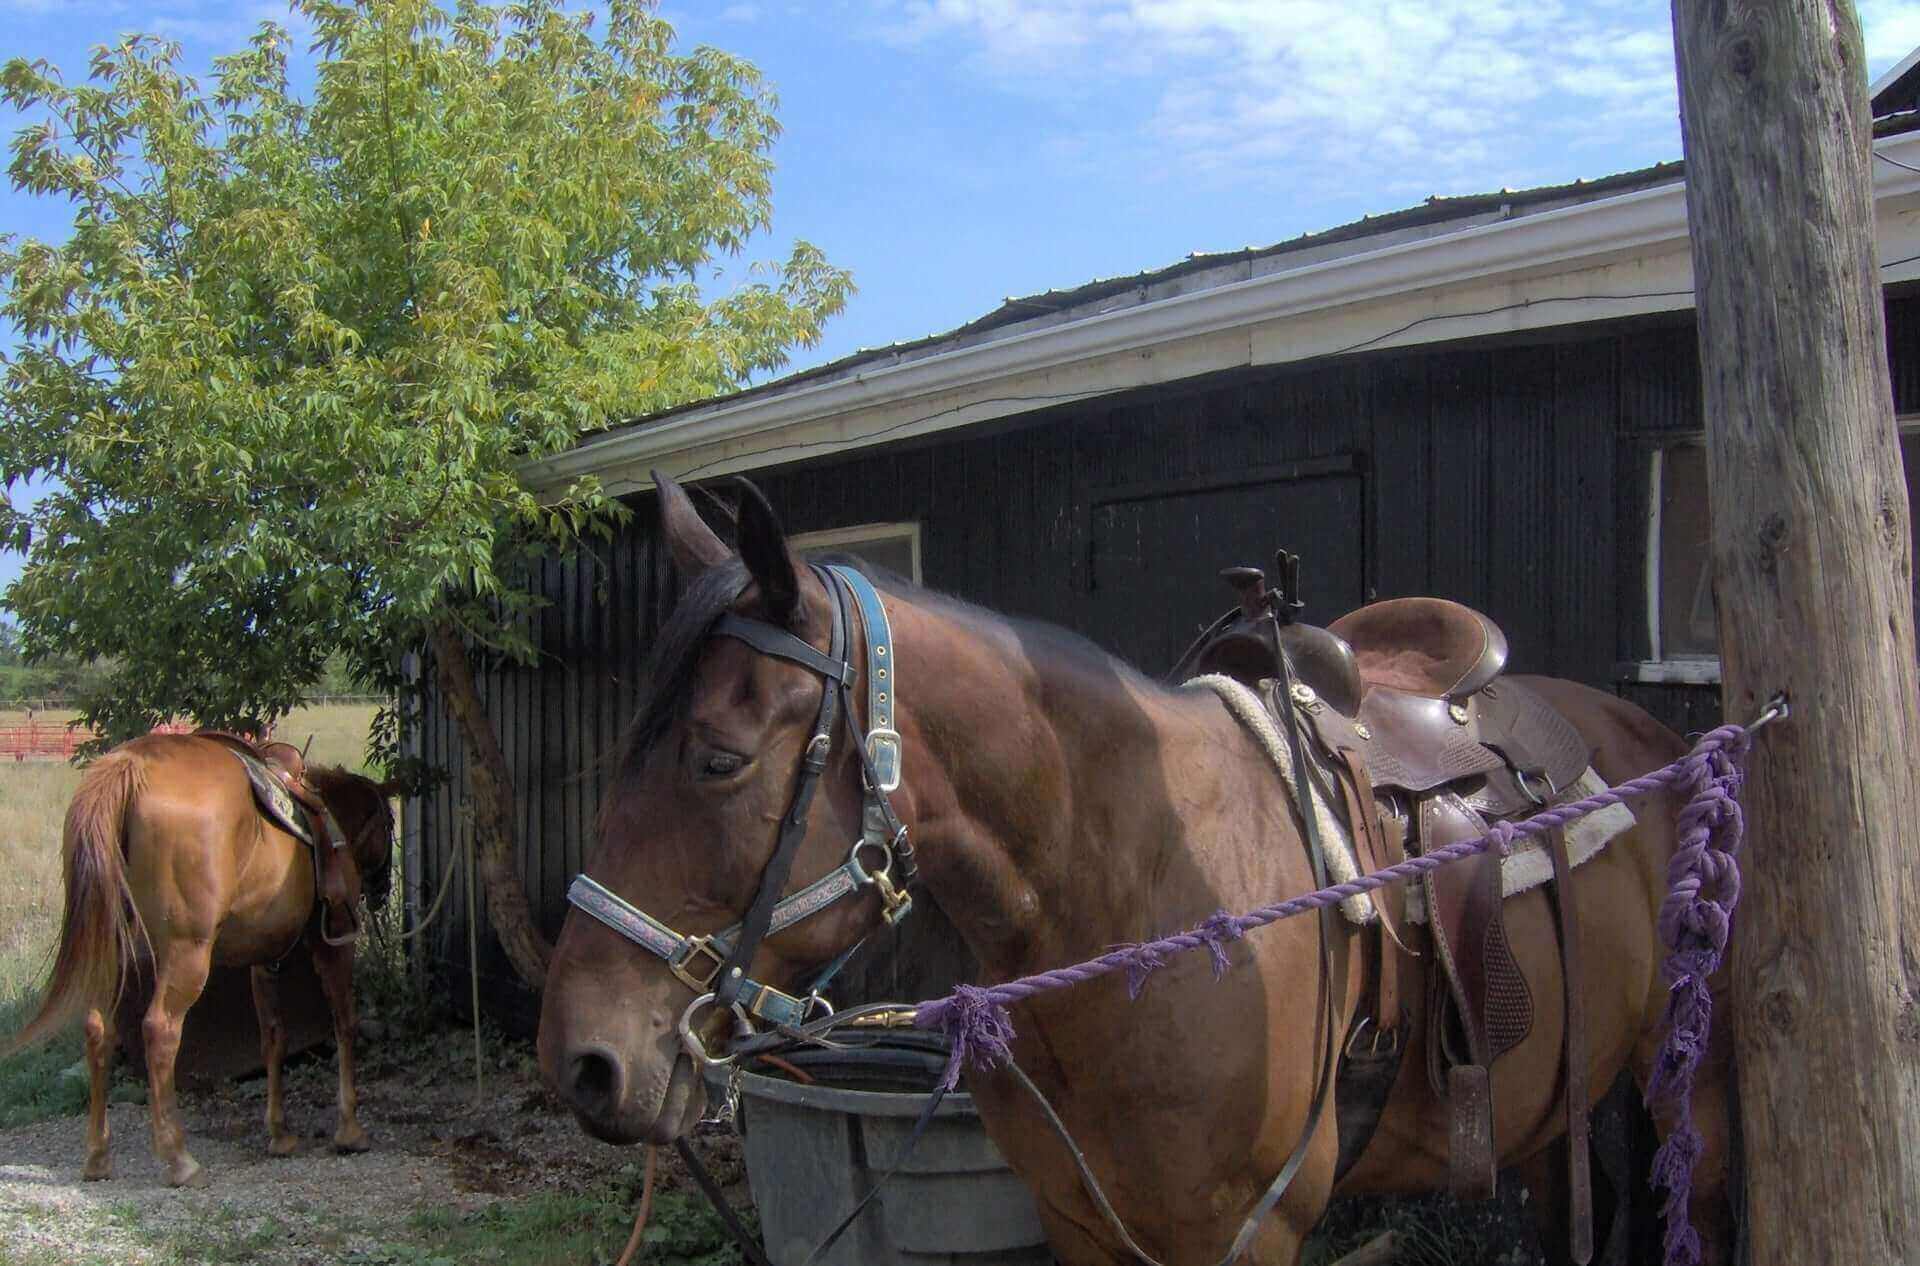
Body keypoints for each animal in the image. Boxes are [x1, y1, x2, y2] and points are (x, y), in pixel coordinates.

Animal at [2, 733, 393, 1191]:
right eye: (390, 825)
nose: (383, 889)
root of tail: (129, 766)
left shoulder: (264, 961)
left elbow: (273, 1037)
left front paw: (279, 1133)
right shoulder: (332, 944)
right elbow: (344, 1024)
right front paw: (350, 1129)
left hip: (112, 952)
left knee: (99, 1030)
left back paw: (98, 1157)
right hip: (186, 953)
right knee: (160, 1031)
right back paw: (178, 1158)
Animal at [541, 478, 1743, 1266]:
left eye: (718, 759)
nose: (583, 1063)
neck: (1135, 904)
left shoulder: (1243, 1236)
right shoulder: (1079, 1223)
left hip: (1690, 1084)